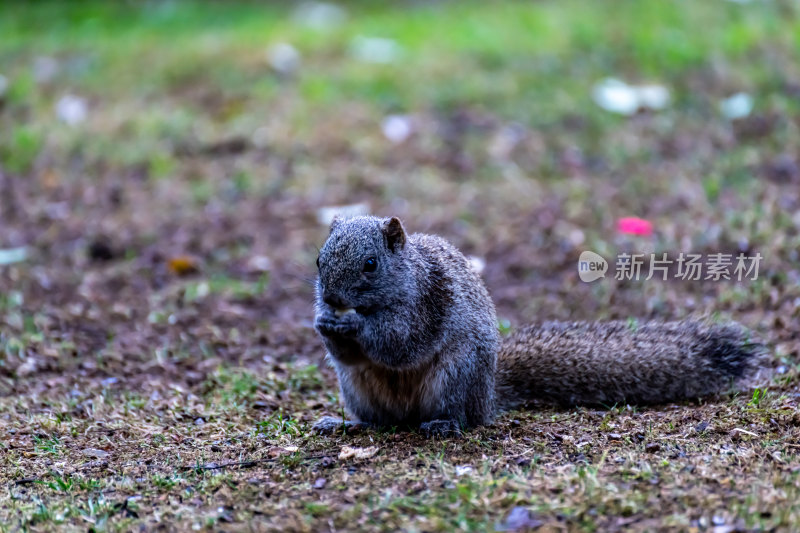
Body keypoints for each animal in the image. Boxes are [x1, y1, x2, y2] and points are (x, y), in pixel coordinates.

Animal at [310, 214, 764, 434]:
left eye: (371, 264)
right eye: (318, 259)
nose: (331, 299)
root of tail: (488, 395)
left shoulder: (427, 303)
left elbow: (400, 342)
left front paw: (353, 327)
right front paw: (323, 324)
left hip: (455, 376)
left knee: (461, 416)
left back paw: (444, 424)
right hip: (358, 390)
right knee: (379, 421)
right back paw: (345, 424)